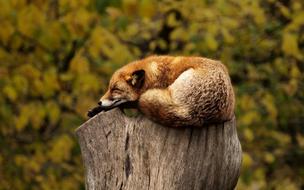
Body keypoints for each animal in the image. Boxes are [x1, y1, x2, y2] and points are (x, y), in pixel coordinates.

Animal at [88, 54, 235, 127]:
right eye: (109, 88)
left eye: (115, 89)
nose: (99, 102)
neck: (156, 75)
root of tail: (191, 112)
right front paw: (96, 109)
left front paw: (98, 109)